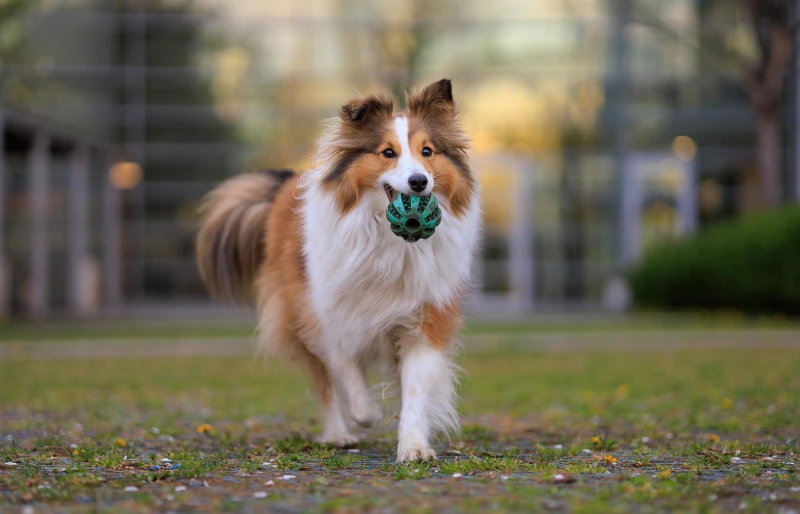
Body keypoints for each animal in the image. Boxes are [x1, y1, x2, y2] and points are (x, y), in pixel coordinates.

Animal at [195, 79, 482, 460]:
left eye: (428, 151)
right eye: (387, 152)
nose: (419, 182)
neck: (388, 241)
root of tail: (284, 183)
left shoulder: (425, 320)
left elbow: (415, 391)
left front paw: (413, 447)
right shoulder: (324, 311)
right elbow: (345, 370)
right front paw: (365, 412)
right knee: (325, 384)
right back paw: (339, 434)